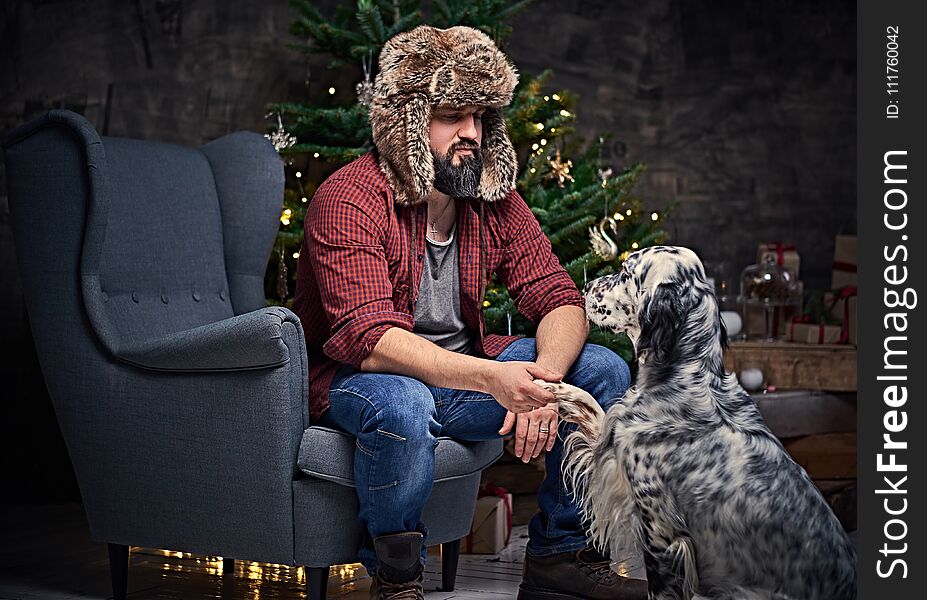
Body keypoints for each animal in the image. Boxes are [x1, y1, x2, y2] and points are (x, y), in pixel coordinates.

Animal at [536, 245, 856, 600]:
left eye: (626, 272)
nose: (585, 286)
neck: (689, 375)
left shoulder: (661, 529)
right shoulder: (614, 452)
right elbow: (592, 408)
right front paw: (547, 387)